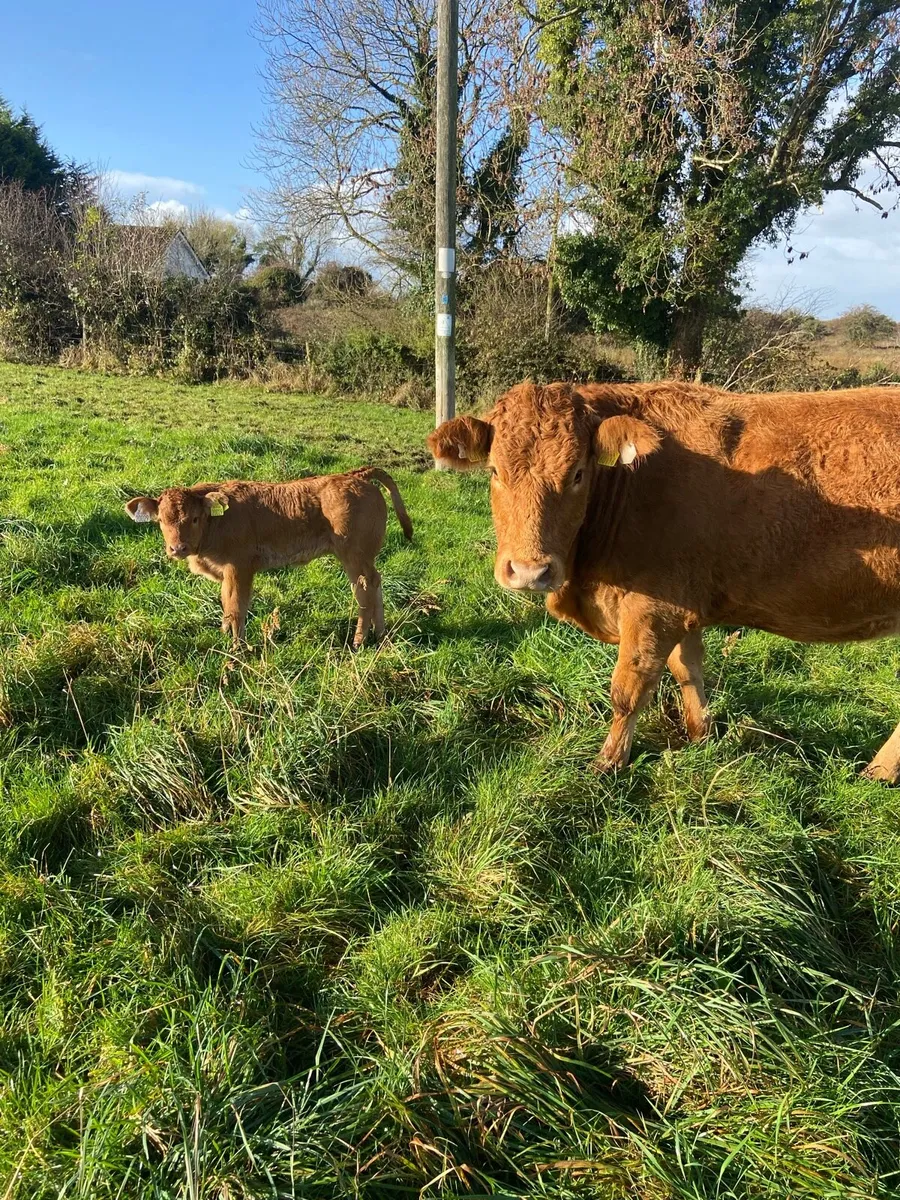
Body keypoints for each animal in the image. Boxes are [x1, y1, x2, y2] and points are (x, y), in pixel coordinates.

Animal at [125, 468, 412, 648]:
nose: (178, 548)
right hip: (363, 558)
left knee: (364, 591)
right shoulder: (227, 572)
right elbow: (226, 604)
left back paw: (358, 640)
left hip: (353, 556)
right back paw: (380, 634)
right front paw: (223, 635)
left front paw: (237, 649)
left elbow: (236, 607)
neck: (217, 522)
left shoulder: (239, 567)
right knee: (375, 584)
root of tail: (355, 475)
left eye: (194, 518)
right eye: (161, 521)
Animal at [428, 380, 900, 781]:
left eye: (577, 474)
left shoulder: (654, 608)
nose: (529, 571)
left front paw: (608, 763)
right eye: (494, 471)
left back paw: (878, 772)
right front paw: (701, 735)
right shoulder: (683, 605)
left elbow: (629, 689)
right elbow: (687, 668)